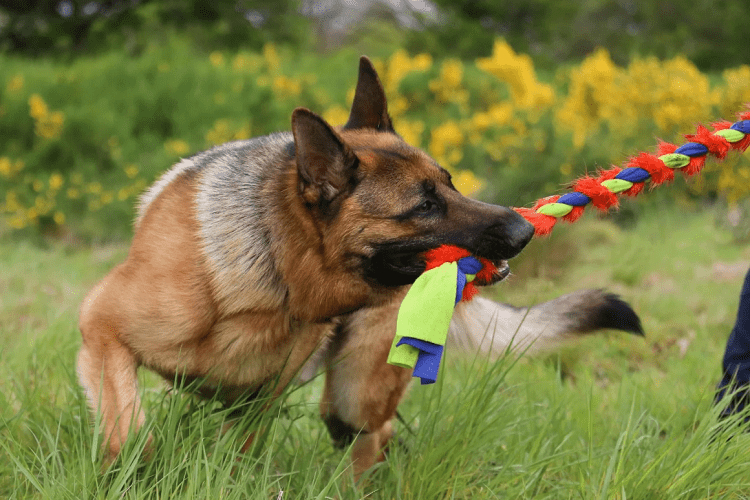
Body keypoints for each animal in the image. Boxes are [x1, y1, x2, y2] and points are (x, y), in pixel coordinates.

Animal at [76, 56, 644, 478]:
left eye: (451, 183)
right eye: (424, 206)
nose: (525, 231)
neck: (275, 273)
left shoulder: (256, 403)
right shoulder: (103, 333)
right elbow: (129, 434)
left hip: (352, 398)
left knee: (371, 436)